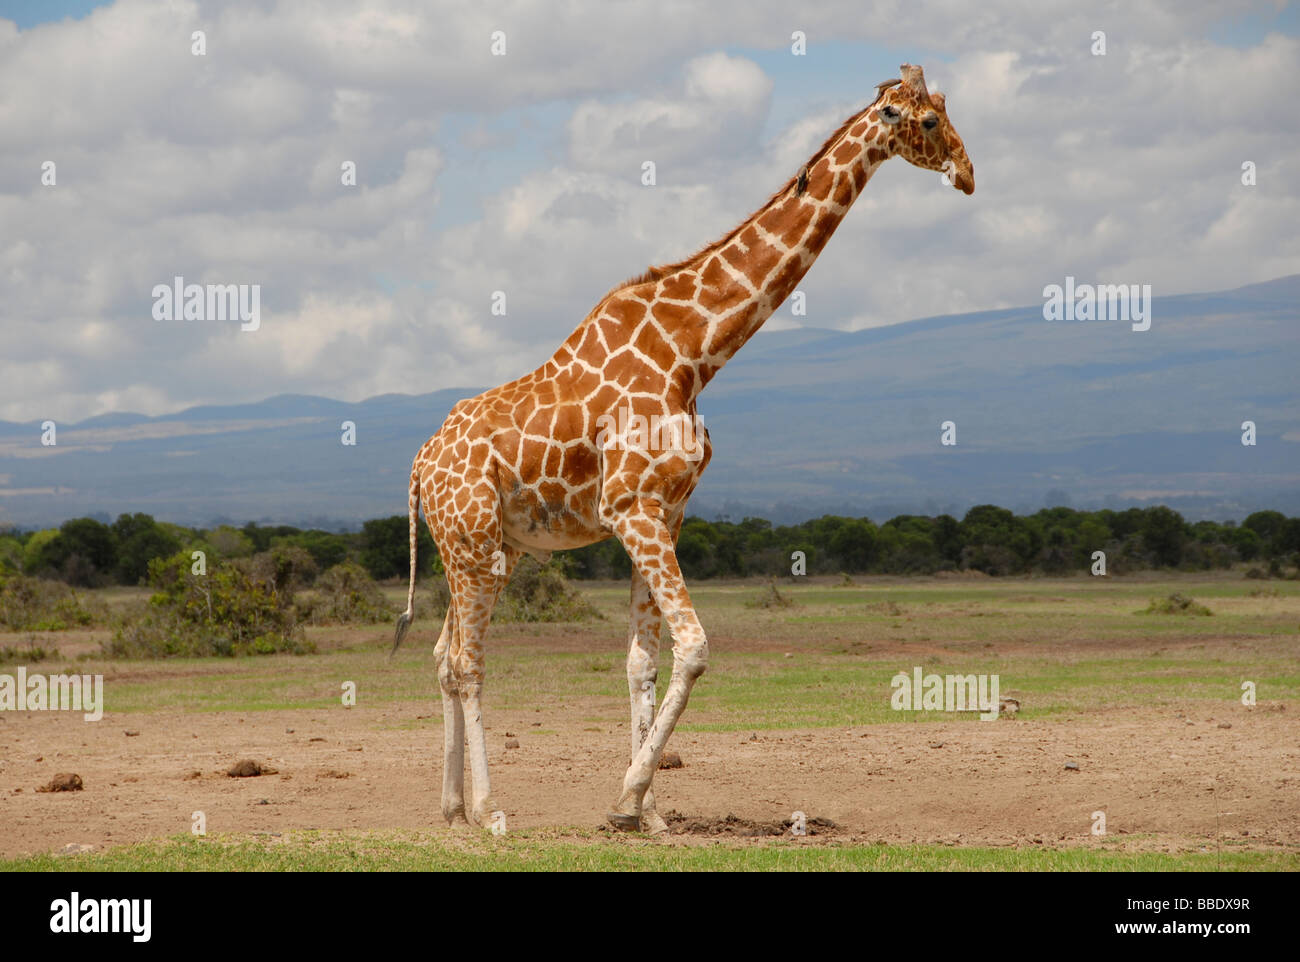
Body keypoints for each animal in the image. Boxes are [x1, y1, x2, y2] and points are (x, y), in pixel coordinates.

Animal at [395, 64, 977, 832]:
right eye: (931, 121)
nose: (968, 174)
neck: (694, 352)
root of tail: (419, 464)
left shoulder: (664, 513)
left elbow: (642, 660)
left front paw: (648, 814)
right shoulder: (632, 508)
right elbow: (695, 647)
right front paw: (626, 798)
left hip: (489, 545)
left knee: (441, 654)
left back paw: (451, 807)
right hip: (473, 544)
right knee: (466, 661)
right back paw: (491, 810)